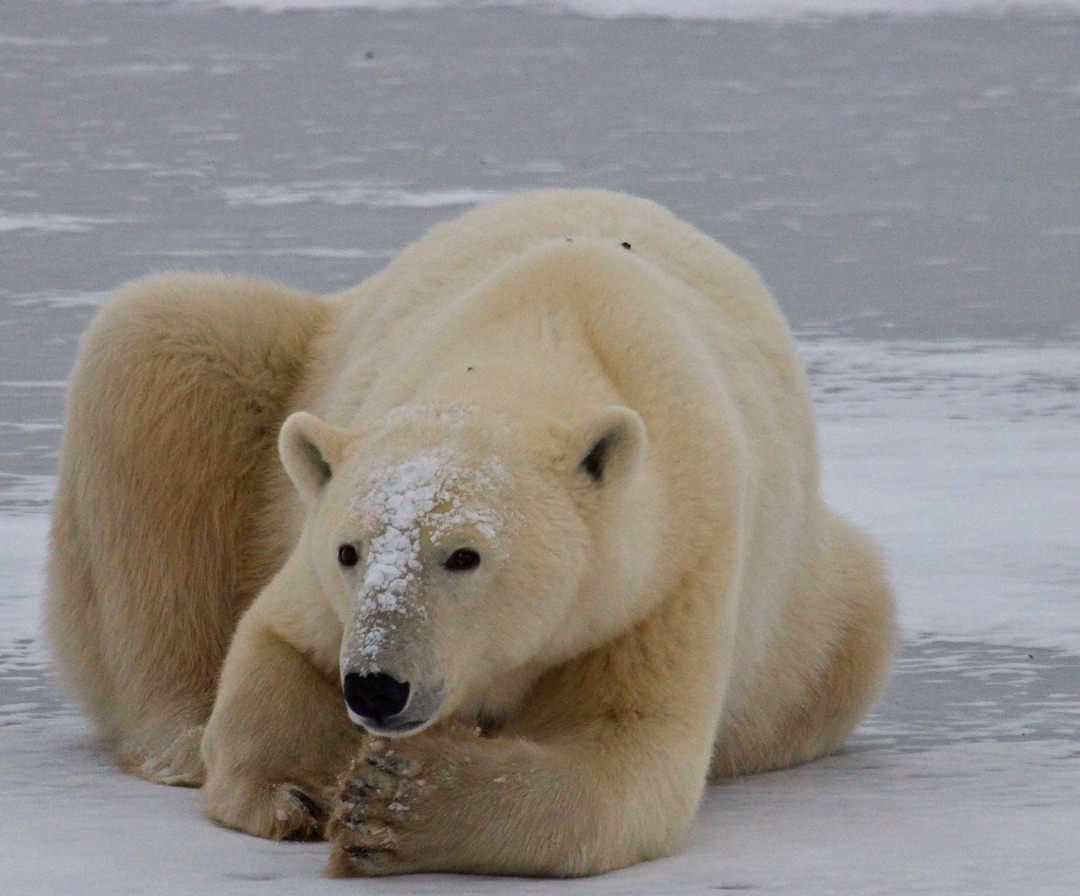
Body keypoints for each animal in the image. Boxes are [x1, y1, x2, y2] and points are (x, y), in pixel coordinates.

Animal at [46, 189, 897, 877]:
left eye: (464, 555)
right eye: (348, 551)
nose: (376, 685)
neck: (539, 335)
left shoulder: (668, 569)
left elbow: (625, 759)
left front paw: (392, 804)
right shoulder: (329, 544)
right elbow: (277, 645)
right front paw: (293, 789)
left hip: (814, 615)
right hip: (287, 364)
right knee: (156, 350)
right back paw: (180, 732)